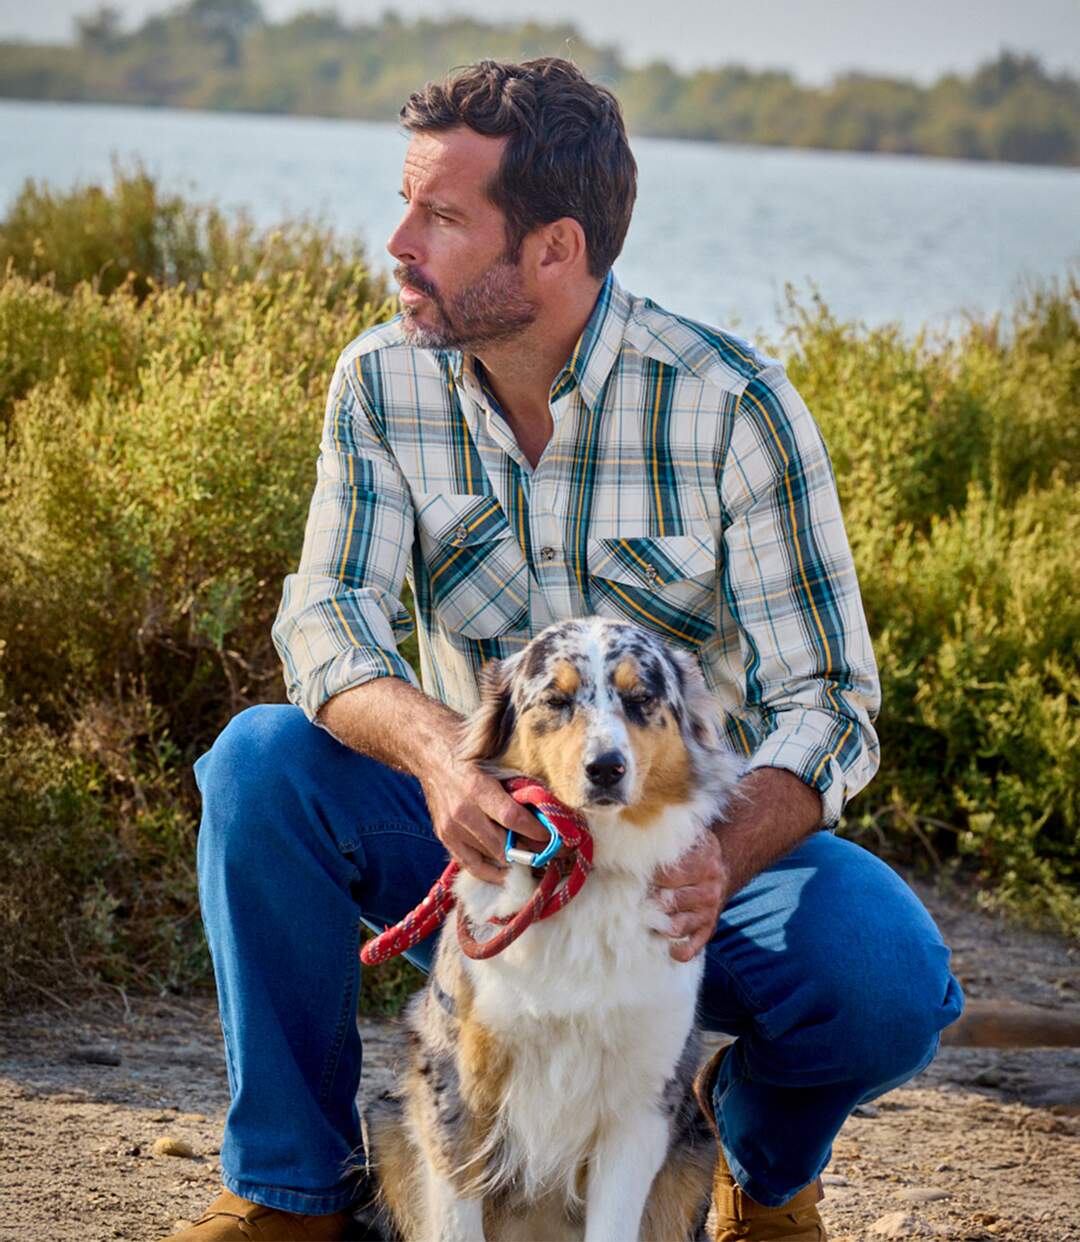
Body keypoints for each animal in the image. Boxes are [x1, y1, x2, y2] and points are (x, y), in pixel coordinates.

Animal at [362, 616, 744, 1237]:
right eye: (556, 700)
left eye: (641, 699)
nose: (606, 767)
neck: (587, 874)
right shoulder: (458, 1091)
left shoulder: (640, 1106)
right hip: (389, 1121)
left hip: (694, 1152)